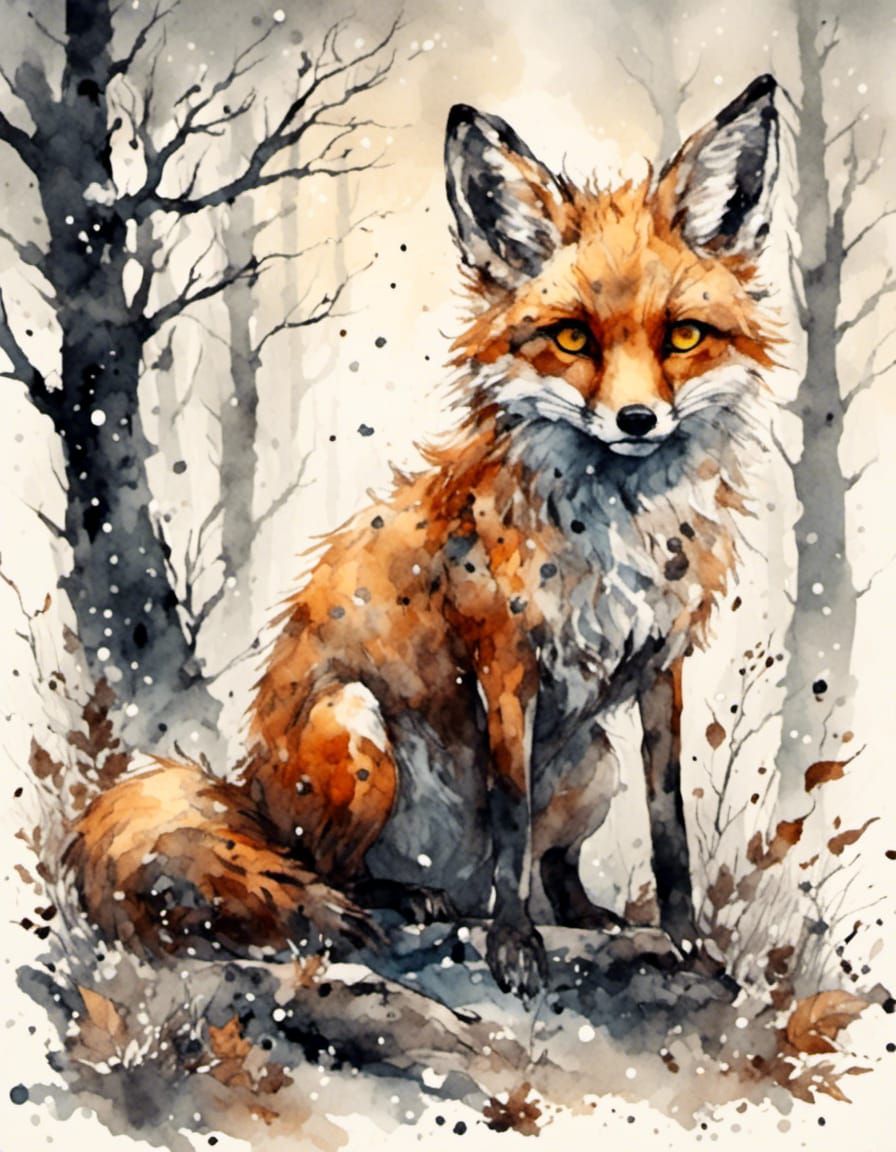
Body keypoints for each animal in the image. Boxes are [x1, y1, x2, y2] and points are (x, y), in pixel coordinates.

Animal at [67, 76, 780, 1000]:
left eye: (684, 336)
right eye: (572, 337)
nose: (636, 420)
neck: (613, 538)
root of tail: (250, 794)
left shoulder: (663, 667)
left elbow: (669, 824)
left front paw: (688, 943)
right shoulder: (503, 657)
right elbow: (509, 812)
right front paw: (514, 948)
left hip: (593, 763)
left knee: (553, 862)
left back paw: (583, 916)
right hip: (355, 726)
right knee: (325, 872)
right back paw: (407, 903)